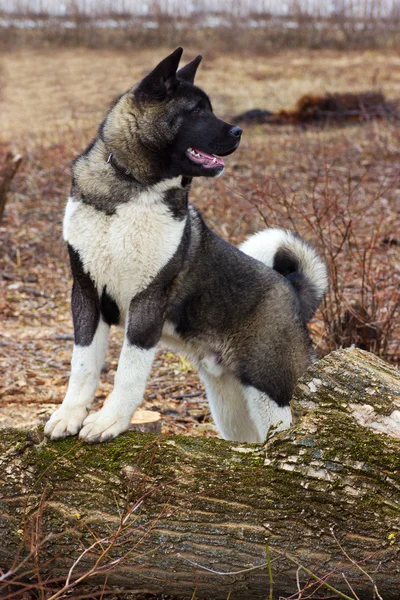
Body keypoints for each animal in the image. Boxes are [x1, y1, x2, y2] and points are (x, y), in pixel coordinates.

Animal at [44, 48, 324, 446]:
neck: (134, 187)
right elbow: (82, 366)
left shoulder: (147, 304)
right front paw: (69, 415)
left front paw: (109, 420)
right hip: (230, 405)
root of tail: (293, 291)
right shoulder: (86, 296)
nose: (239, 131)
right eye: (195, 111)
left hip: (270, 392)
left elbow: (128, 371)